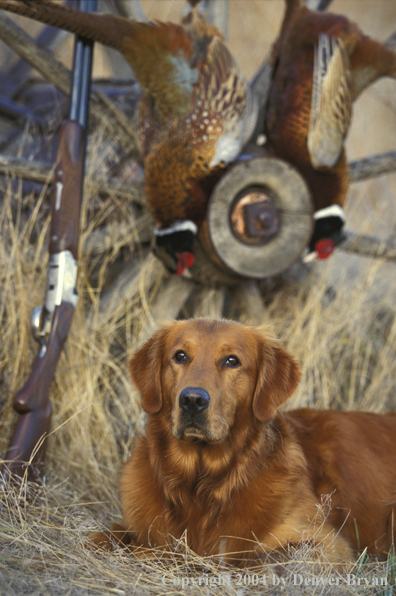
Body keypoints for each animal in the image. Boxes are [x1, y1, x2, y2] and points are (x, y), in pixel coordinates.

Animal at [90, 316, 396, 564]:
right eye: (180, 356)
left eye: (232, 361)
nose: (192, 401)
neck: (203, 486)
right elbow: (101, 537)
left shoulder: (329, 545)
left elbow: (258, 557)